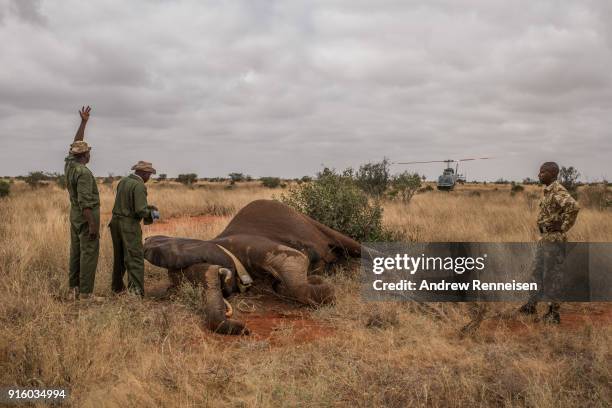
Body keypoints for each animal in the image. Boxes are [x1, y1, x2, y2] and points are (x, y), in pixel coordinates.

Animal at [143, 199, 364, 336]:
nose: (246, 329)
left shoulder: (251, 244)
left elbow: (297, 262)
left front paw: (319, 281)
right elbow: (281, 285)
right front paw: (315, 276)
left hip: (315, 225)